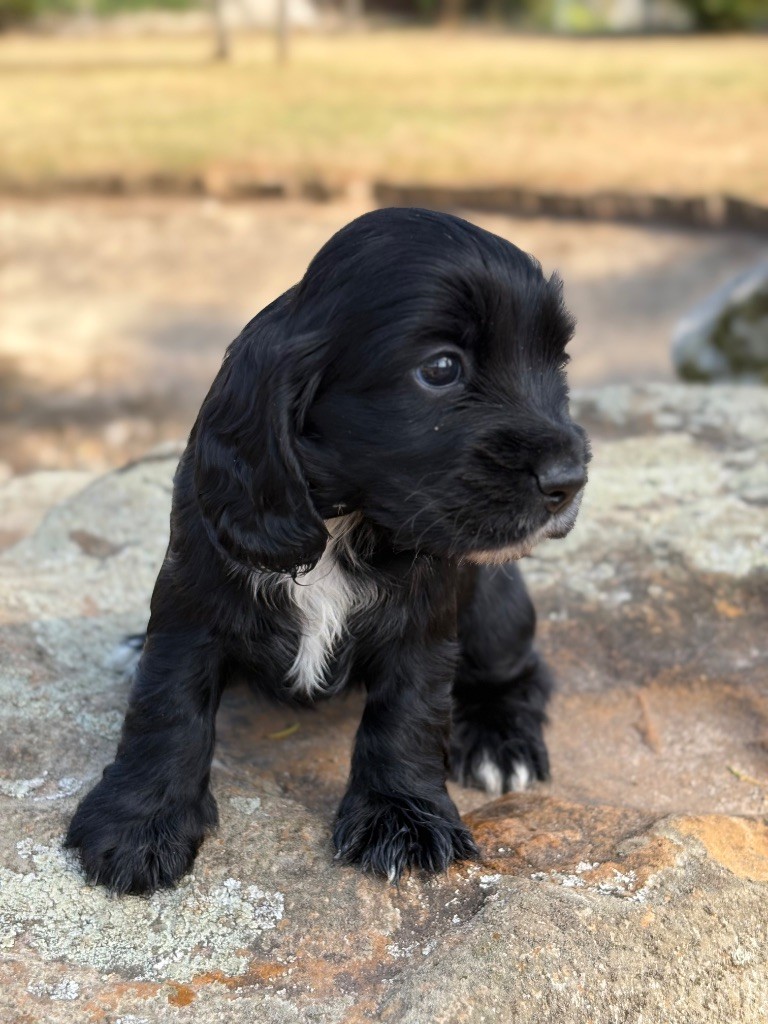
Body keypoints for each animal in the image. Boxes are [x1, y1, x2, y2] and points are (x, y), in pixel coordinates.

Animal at [66, 207, 589, 893]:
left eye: (558, 365)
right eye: (441, 368)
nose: (570, 480)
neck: (346, 517)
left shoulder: (425, 622)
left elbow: (410, 713)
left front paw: (402, 818)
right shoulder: (192, 600)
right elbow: (166, 704)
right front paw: (138, 822)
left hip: (497, 607)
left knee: (521, 670)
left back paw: (503, 741)